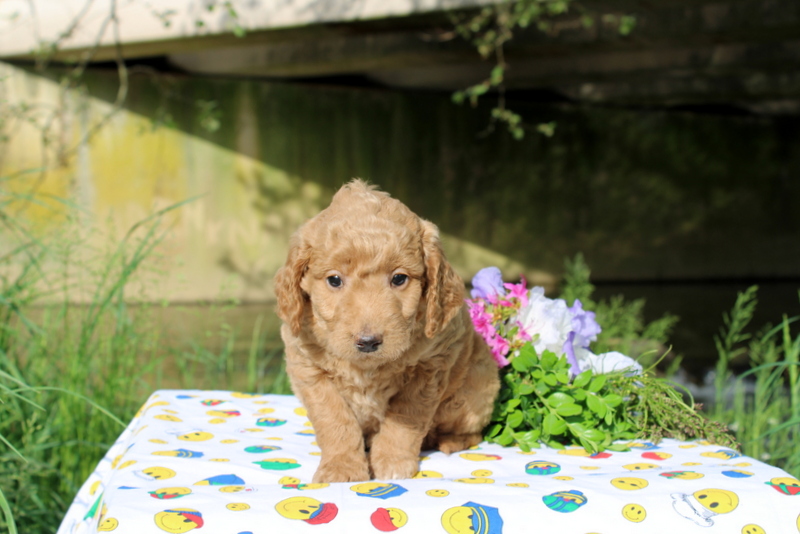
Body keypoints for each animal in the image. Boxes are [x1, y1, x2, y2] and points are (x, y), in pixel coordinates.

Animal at [276, 180, 500, 486]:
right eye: (334, 280)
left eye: (399, 278)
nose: (368, 342)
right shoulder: (308, 368)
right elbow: (335, 420)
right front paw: (341, 467)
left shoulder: (431, 365)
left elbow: (404, 417)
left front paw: (392, 461)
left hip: (475, 390)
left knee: (472, 430)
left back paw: (448, 441)